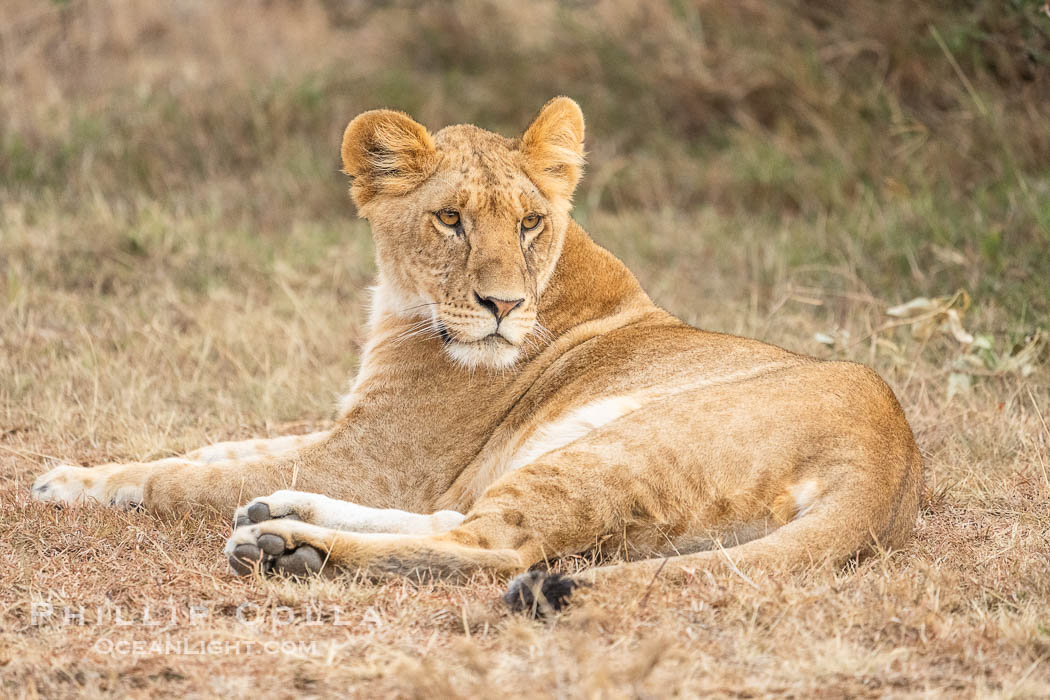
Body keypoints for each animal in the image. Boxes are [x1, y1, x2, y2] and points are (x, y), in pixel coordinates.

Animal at [32, 97, 922, 612]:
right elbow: (219, 450)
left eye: (528, 222)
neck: (403, 304)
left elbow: (186, 477)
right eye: (451, 220)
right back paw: (283, 517)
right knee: (461, 518)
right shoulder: (356, 442)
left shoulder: (374, 460)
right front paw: (80, 473)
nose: (503, 307)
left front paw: (69, 486)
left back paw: (288, 549)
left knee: (493, 546)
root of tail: (891, 467)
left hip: (618, 446)